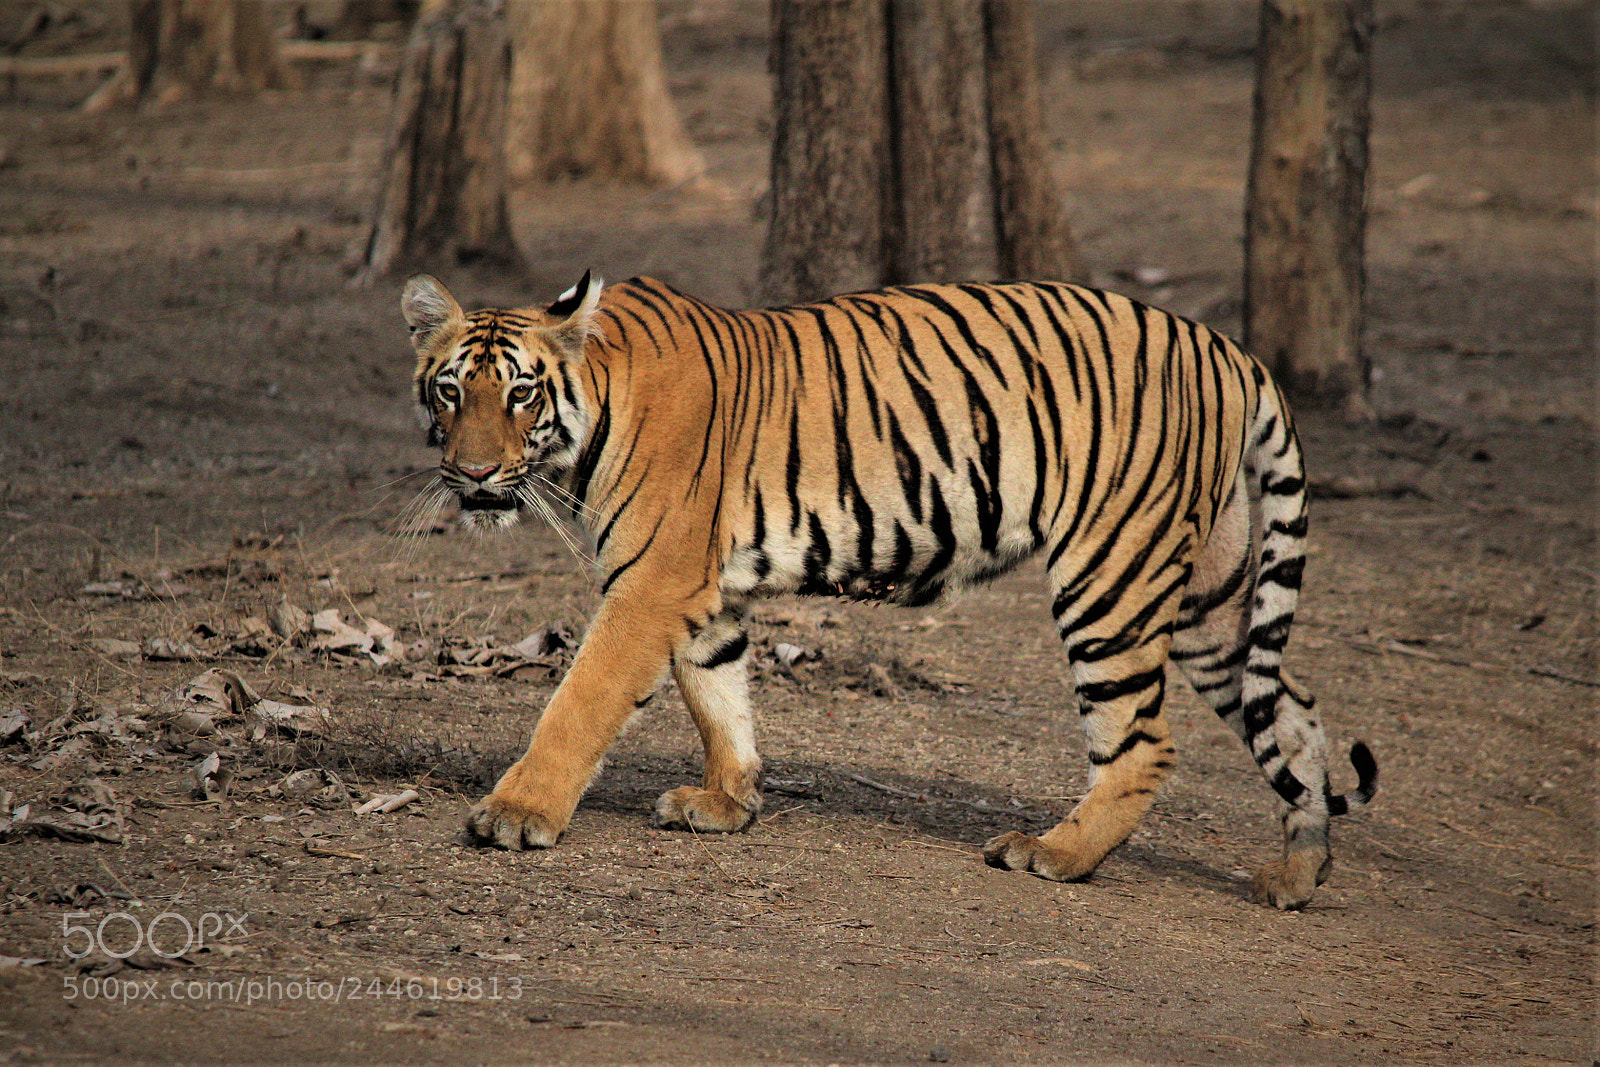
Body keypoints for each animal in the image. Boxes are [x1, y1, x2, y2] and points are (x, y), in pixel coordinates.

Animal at [399, 269, 1377, 910]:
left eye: (521, 394)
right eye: (449, 391)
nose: (472, 474)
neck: (592, 408)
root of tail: (1230, 348)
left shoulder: (651, 582)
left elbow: (582, 700)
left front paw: (517, 814)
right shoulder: (704, 591)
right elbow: (719, 694)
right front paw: (728, 802)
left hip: (1114, 573)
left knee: (1143, 744)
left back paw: (1052, 852)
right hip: (1214, 599)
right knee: (1294, 715)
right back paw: (1297, 876)